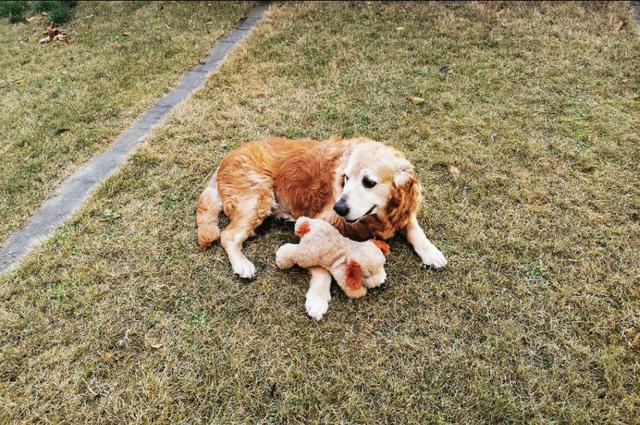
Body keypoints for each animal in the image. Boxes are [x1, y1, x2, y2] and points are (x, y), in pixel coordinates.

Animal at [198, 136, 448, 318]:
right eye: (345, 178)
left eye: (369, 182)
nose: (339, 208)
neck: (378, 216)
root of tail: (224, 161)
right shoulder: (325, 220)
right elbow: (321, 265)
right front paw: (317, 297)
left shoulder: (404, 211)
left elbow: (415, 229)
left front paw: (431, 252)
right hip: (257, 198)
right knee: (228, 236)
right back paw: (242, 264)